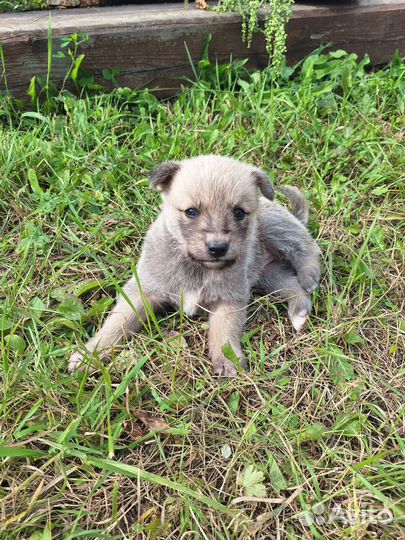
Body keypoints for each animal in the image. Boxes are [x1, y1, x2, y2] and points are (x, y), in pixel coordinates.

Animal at [68, 155, 318, 376]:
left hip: (274, 228)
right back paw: (299, 311)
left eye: (238, 212)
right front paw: (90, 356)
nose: (218, 248)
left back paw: (309, 275)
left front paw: (226, 360)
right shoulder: (141, 292)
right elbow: (116, 324)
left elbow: (223, 331)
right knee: (291, 283)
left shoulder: (229, 298)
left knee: (308, 248)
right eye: (191, 211)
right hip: (268, 273)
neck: (197, 266)